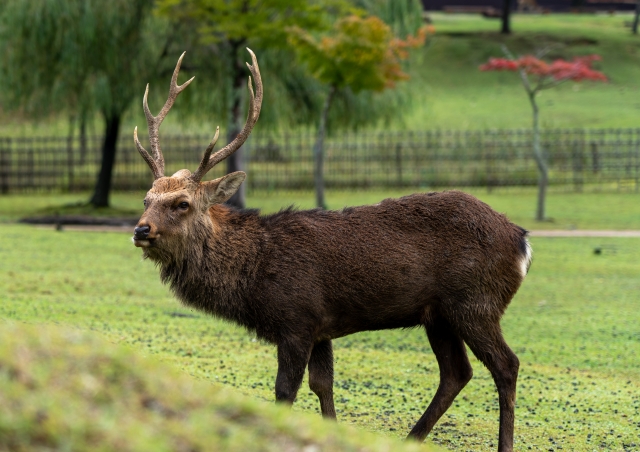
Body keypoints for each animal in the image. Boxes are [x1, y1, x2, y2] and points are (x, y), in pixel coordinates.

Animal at [132, 49, 532, 452]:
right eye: (147, 199)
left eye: (182, 203)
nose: (140, 229)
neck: (255, 272)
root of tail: (522, 241)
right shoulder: (321, 327)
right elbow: (323, 386)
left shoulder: (297, 318)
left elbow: (285, 391)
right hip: (439, 315)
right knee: (456, 373)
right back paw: (411, 438)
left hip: (475, 302)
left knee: (506, 364)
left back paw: (501, 443)